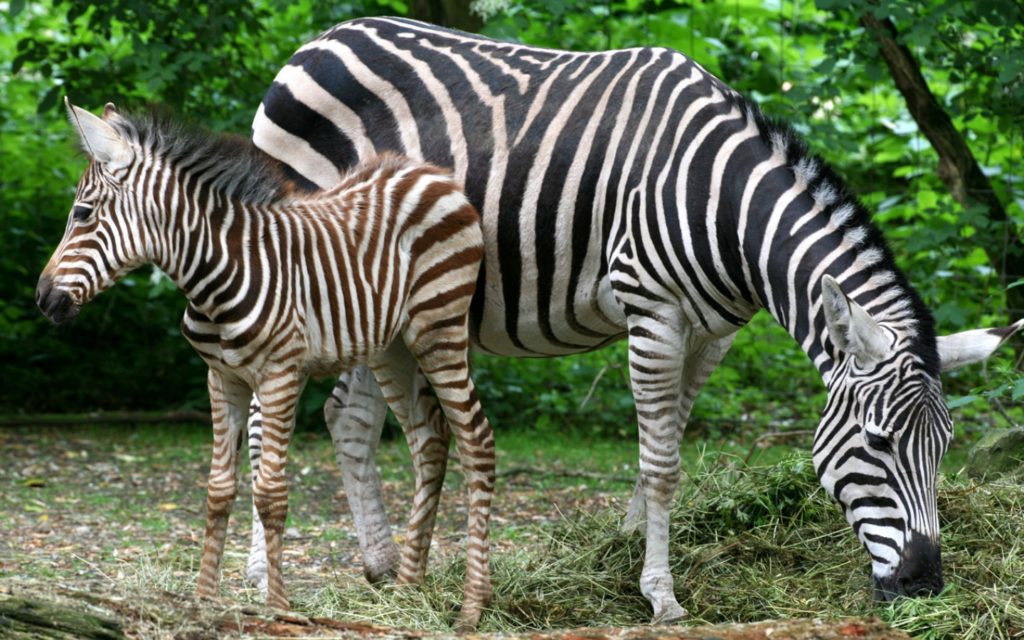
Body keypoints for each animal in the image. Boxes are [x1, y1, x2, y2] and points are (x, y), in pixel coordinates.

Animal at [36, 99, 495, 630]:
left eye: (82, 213)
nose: (42, 299)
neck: (215, 276)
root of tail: (431, 174)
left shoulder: (279, 375)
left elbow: (271, 493)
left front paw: (277, 607)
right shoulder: (221, 378)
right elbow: (218, 490)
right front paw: (204, 600)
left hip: (439, 330)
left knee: (476, 439)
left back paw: (472, 606)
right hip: (394, 346)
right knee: (430, 438)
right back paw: (407, 590)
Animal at [240, 18, 1024, 621]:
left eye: (945, 446)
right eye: (879, 442)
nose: (924, 587)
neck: (725, 207)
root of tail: (322, 38)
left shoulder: (714, 334)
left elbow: (663, 446)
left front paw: (623, 553)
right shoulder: (653, 312)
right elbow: (662, 462)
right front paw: (662, 595)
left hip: (373, 293)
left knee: (345, 416)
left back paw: (380, 564)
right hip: (298, 260)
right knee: (262, 411)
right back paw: (258, 572)